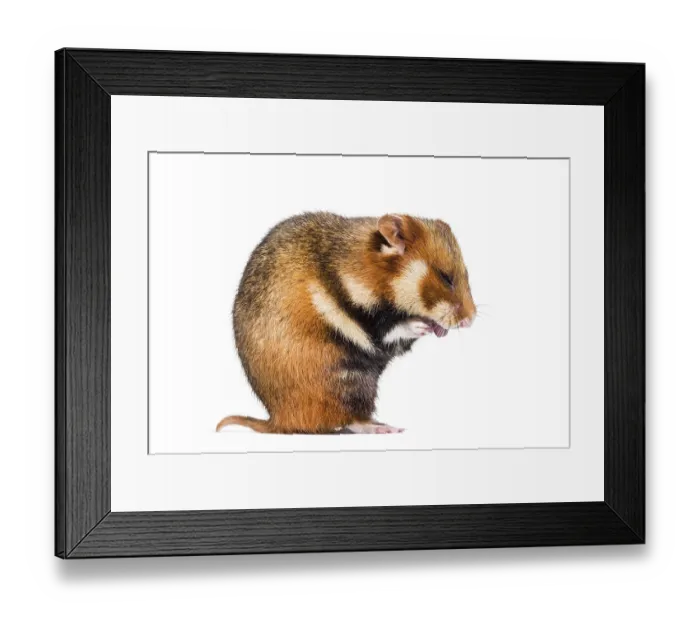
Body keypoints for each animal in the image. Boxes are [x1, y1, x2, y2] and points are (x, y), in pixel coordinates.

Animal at [216, 212, 476, 435]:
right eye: (445, 277)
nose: (471, 320)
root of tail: (277, 419)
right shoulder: (366, 318)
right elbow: (388, 330)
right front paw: (421, 326)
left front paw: (439, 329)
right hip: (348, 384)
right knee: (345, 419)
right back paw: (383, 427)